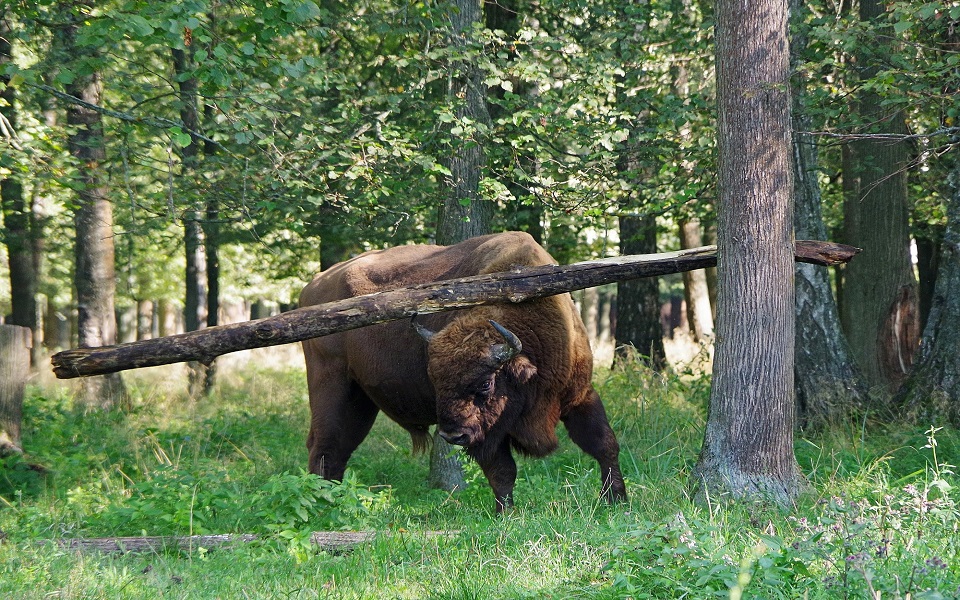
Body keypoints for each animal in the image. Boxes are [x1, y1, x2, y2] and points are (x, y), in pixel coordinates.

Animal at [302, 232, 632, 508]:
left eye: (485, 383)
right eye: (434, 380)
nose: (451, 435)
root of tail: (313, 286)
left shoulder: (580, 397)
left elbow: (604, 444)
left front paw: (616, 501)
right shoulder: (486, 435)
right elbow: (503, 471)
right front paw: (506, 514)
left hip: (360, 399)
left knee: (340, 448)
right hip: (330, 386)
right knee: (324, 446)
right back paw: (322, 504)